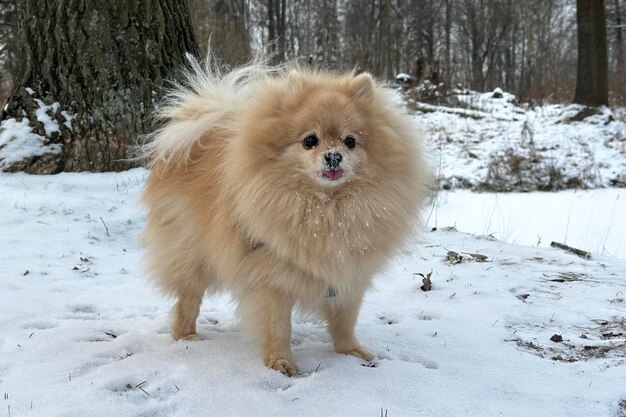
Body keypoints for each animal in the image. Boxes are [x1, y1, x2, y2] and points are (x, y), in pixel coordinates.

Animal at [140, 56, 428, 374]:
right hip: (191, 252)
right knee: (188, 297)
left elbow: (345, 320)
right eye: (310, 140)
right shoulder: (270, 277)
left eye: (350, 141)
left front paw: (350, 351)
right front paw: (280, 362)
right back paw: (186, 335)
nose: (333, 156)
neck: (328, 209)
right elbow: (278, 326)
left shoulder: (348, 273)